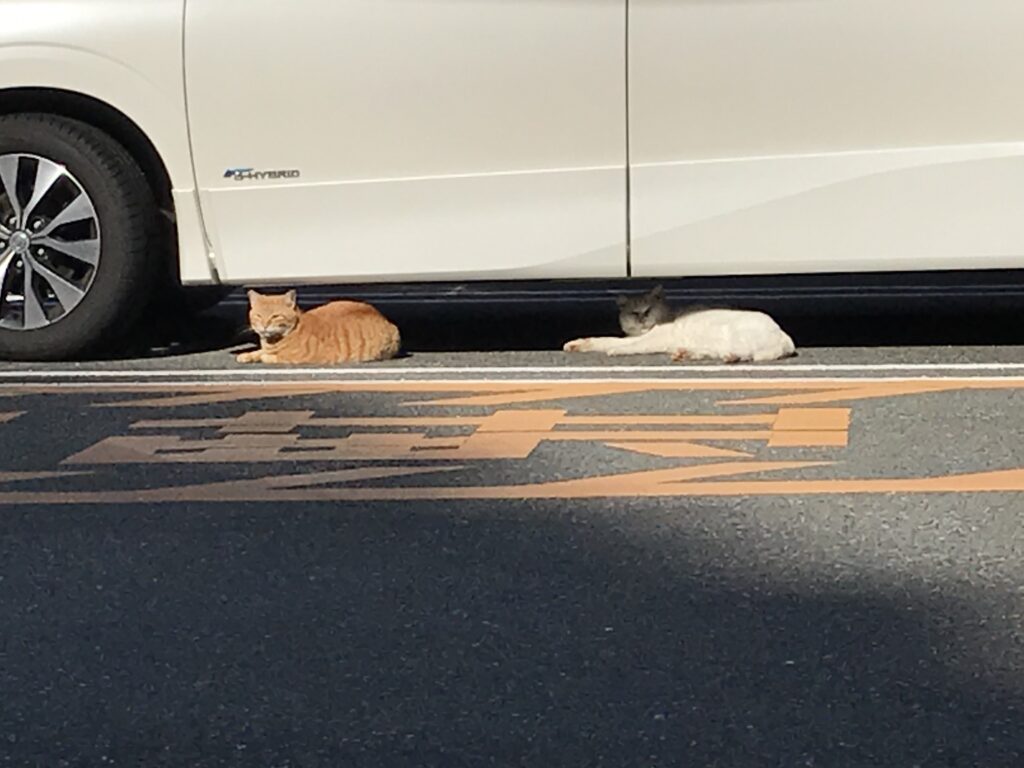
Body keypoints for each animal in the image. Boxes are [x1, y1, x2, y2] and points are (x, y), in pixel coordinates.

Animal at [237, 290, 401, 364]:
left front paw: (264, 357)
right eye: (258, 316)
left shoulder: (300, 358)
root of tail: (382, 317)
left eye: (275, 316)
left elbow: (272, 357)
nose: (264, 325)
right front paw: (247, 355)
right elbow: (258, 352)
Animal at [569, 286, 790, 364]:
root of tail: (784, 337)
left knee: (745, 354)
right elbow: (605, 340)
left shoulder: (652, 340)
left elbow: (628, 345)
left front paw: (616, 350)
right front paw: (578, 344)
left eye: (648, 310)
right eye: (634, 313)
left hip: (736, 336)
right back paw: (684, 354)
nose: (642, 319)